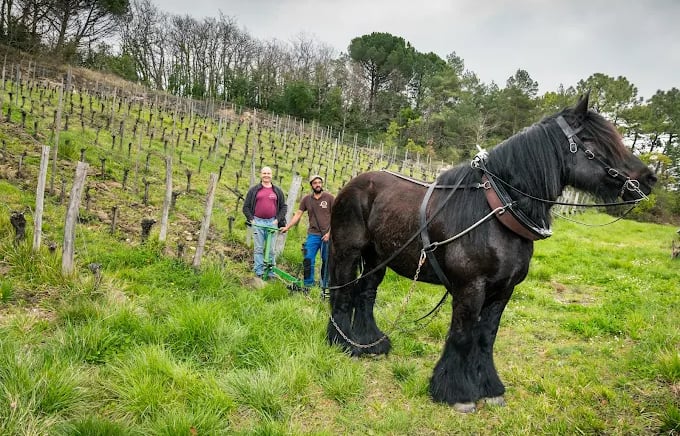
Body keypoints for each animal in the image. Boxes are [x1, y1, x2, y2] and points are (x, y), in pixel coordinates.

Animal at [326, 94, 657, 412]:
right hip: (347, 252)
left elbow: (486, 337)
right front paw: (457, 393)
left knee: (365, 294)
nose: (648, 178)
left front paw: (489, 388)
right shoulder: (470, 288)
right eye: (591, 140)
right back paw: (344, 344)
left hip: (377, 258)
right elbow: (462, 335)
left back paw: (371, 344)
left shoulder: (503, 290)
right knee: (342, 295)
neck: (496, 212)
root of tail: (352, 185)